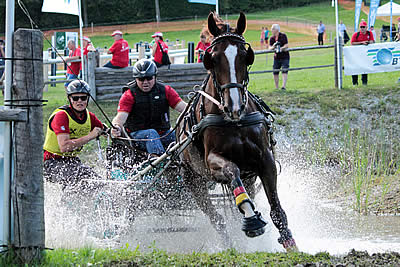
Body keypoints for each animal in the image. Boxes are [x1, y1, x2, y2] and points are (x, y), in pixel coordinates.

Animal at [177, 12, 296, 251]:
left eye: (245, 57)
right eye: (212, 58)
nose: (234, 106)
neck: (235, 123)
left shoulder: (265, 159)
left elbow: (277, 211)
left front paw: (292, 245)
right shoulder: (213, 163)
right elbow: (233, 170)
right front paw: (251, 219)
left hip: (249, 176)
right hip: (193, 181)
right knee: (217, 219)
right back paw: (231, 244)